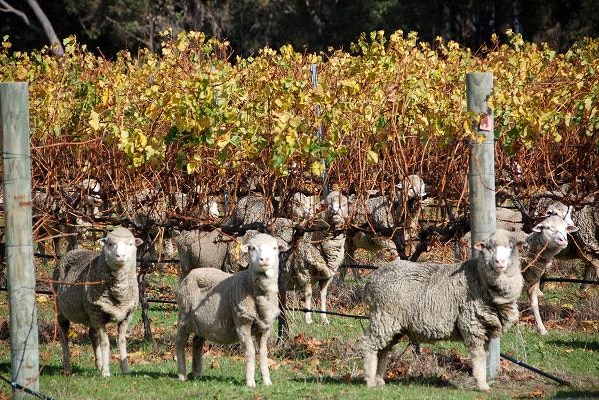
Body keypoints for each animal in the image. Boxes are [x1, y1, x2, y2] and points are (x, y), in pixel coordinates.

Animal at [52, 227, 144, 376]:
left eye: (131, 244)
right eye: (110, 244)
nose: (121, 256)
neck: (119, 293)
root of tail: (72, 251)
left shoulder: (127, 315)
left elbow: (121, 340)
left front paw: (125, 369)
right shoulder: (97, 314)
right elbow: (105, 342)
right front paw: (106, 372)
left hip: (90, 314)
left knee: (92, 334)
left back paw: (98, 364)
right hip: (61, 307)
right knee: (63, 333)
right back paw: (67, 367)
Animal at [175, 233, 288, 386]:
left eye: (275, 248)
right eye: (252, 248)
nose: (264, 259)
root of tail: (192, 272)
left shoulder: (265, 327)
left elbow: (264, 353)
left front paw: (267, 381)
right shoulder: (242, 322)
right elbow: (250, 352)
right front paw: (250, 382)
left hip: (202, 322)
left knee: (197, 342)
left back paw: (197, 373)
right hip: (184, 314)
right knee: (179, 342)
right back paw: (182, 375)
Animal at [284, 189, 350, 324]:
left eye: (344, 204)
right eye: (327, 205)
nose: (335, 213)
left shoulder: (327, 277)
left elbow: (323, 295)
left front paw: (324, 319)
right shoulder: (304, 273)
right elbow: (308, 294)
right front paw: (308, 319)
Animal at [360, 228, 524, 390]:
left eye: (511, 246)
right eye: (489, 247)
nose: (499, 262)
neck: (480, 279)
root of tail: (371, 281)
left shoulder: (486, 328)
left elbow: (484, 355)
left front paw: (482, 382)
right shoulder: (473, 324)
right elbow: (478, 356)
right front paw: (482, 385)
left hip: (393, 324)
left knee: (383, 350)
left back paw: (379, 380)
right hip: (384, 317)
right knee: (369, 345)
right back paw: (370, 381)